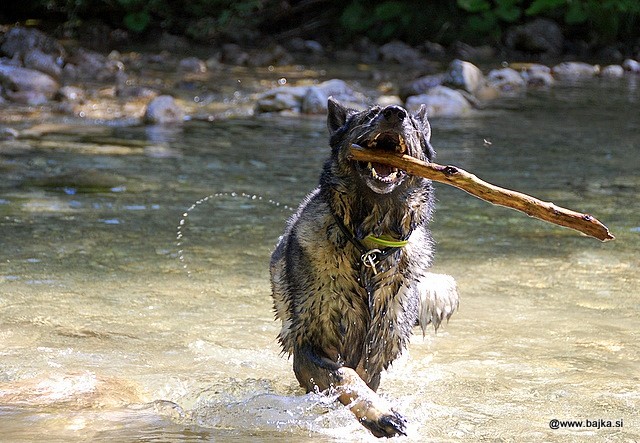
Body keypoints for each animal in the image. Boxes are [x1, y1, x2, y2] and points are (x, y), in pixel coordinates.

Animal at [270, 98, 460, 438]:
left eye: (412, 124)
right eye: (370, 115)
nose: (395, 113)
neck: (370, 244)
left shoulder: (376, 352)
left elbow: (360, 379)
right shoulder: (308, 347)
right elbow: (345, 377)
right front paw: (382, 415)